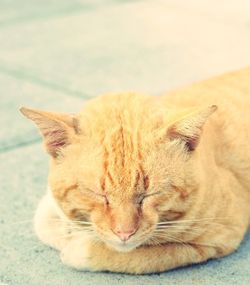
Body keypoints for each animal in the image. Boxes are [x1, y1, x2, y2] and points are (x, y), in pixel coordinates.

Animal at [20, 67, 250, 272]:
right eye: (98, 194)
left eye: (149, 194)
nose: (124, 233)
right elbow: (47, 221)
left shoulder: (218, 237)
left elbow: (142, 256)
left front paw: (80, 245)